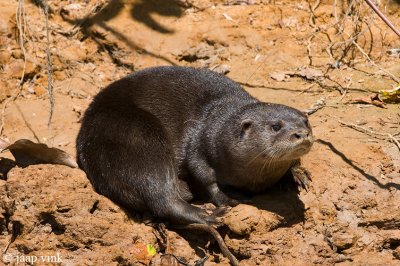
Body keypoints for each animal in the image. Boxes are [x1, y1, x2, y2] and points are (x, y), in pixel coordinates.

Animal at [75, 65, 312, 260]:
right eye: (275, 126)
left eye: (305, 121)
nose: (302, 134)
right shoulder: (199, 144)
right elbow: (204, 176)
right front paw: (227, 199)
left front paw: (298, 173)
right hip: (140, 137)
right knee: (162, 197)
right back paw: (208, 216)